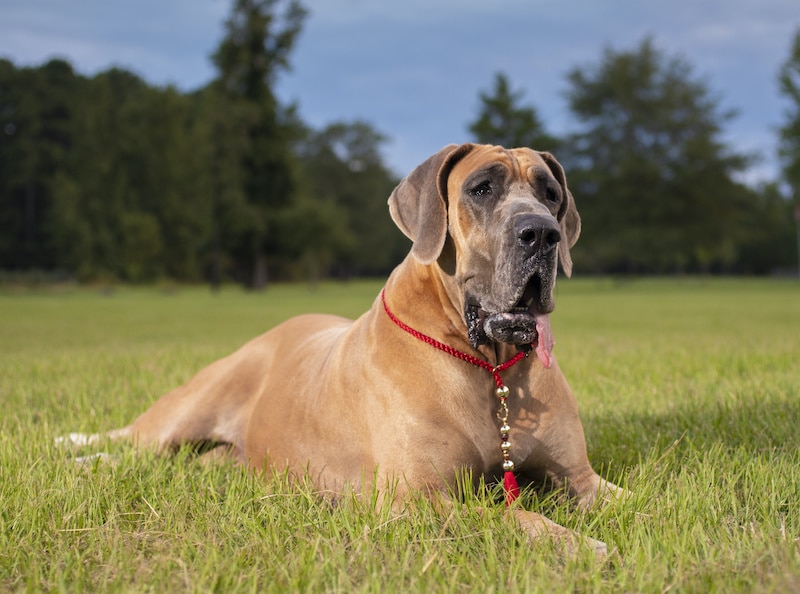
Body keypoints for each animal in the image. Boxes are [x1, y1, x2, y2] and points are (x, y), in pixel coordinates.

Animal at [62, 143, 624, 556]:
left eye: (551, 194)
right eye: (481, 189)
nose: (543, 233)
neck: (491, 367)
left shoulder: (582, 478)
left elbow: (634, 499)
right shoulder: (416, 499)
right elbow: (517, 518)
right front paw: (581, 546)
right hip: (189, 407)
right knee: (131, 443)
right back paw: (78, 453)